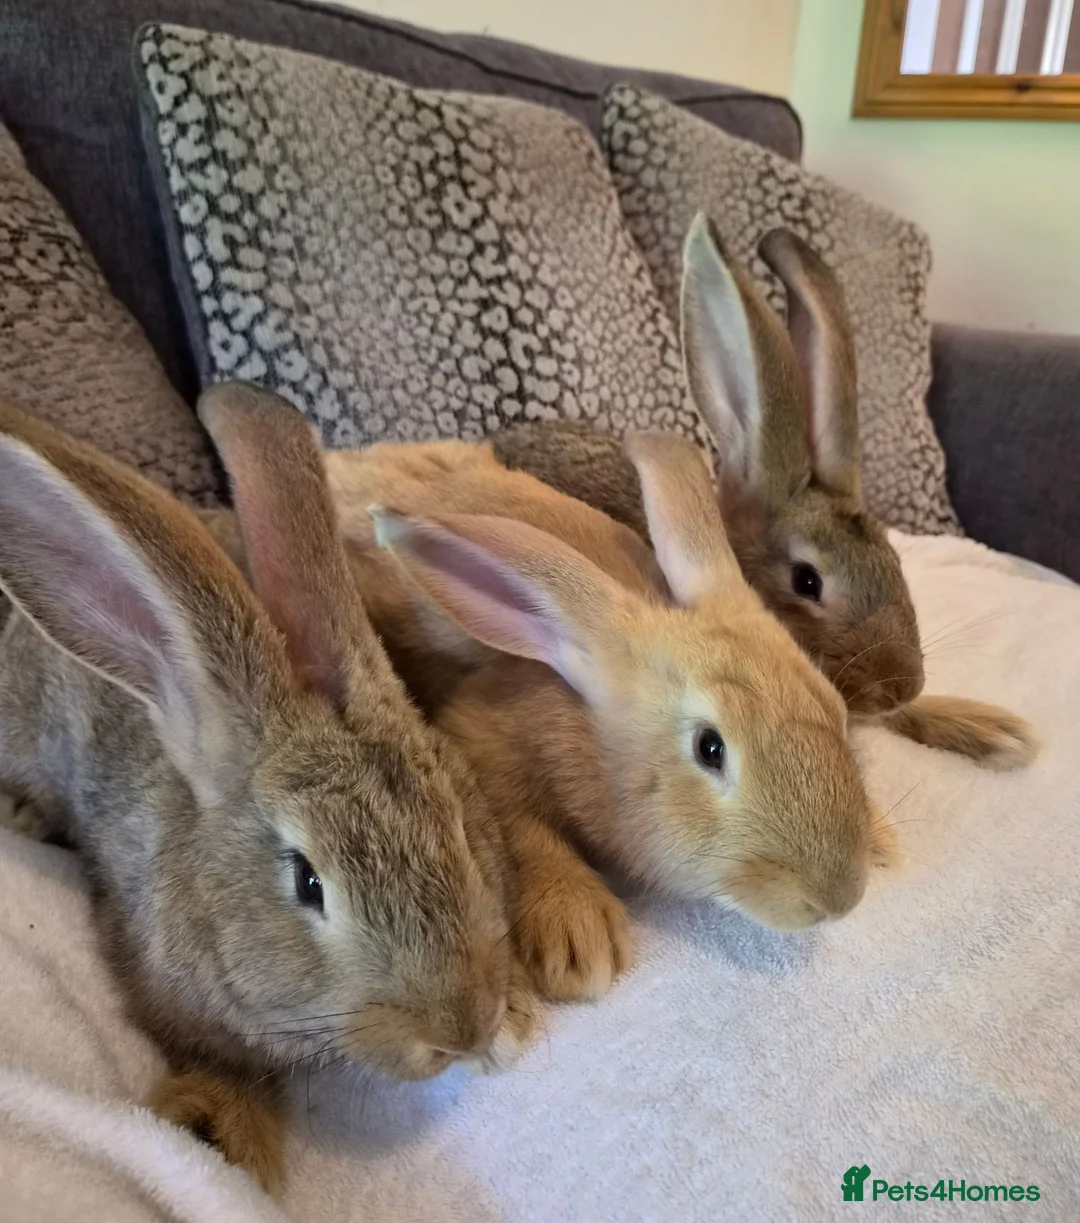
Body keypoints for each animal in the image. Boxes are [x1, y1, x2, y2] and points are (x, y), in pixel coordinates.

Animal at [315, 417, 895, 1001]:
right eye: (710, 748)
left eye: (833, 707)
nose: (839, 898)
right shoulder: (482, 740)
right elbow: (523, 833)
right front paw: (579, 940)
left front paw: (883, 836)